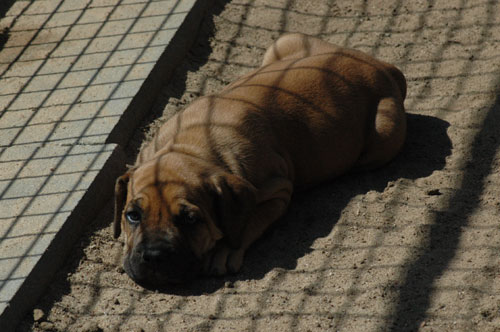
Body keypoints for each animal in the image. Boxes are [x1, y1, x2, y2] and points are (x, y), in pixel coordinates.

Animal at [113, 33, 406, 286]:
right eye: (132, 215)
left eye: (190, 220)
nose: (153, 256)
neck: (192, 144)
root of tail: (383, 66)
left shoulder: (278, 189)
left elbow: (248, 221)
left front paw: (224, 250)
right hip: (283, 42)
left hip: (384, 135)